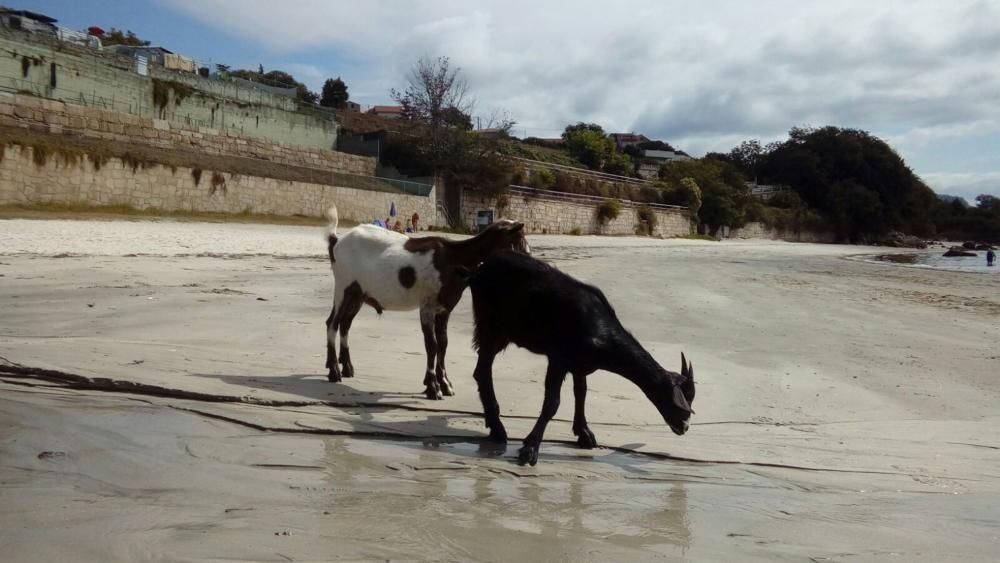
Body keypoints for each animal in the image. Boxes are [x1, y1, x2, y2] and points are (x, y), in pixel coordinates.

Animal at [326, 207, 532, 400]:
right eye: (517, 241)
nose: (529, 263)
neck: (452, 259)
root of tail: (337, 241)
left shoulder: (445, 308)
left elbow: (443, 343)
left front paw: (445, 383)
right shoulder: (427, 305)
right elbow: (431, 344)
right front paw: (433, 387)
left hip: (358, 294)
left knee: (345, 324)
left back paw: (347, 368)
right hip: (343, 287)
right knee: (332, 323)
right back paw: (334, 371)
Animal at [462, 251, 692, 468]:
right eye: (677, 400)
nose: (684, 426)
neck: (602, 334)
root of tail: (479, 271)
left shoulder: (580, 364)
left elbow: (581, 392)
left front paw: (585, 434)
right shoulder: (559, 359)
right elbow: (552, 403)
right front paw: (529, 450)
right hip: (492, 326)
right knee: (483, 370)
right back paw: (498, 429)